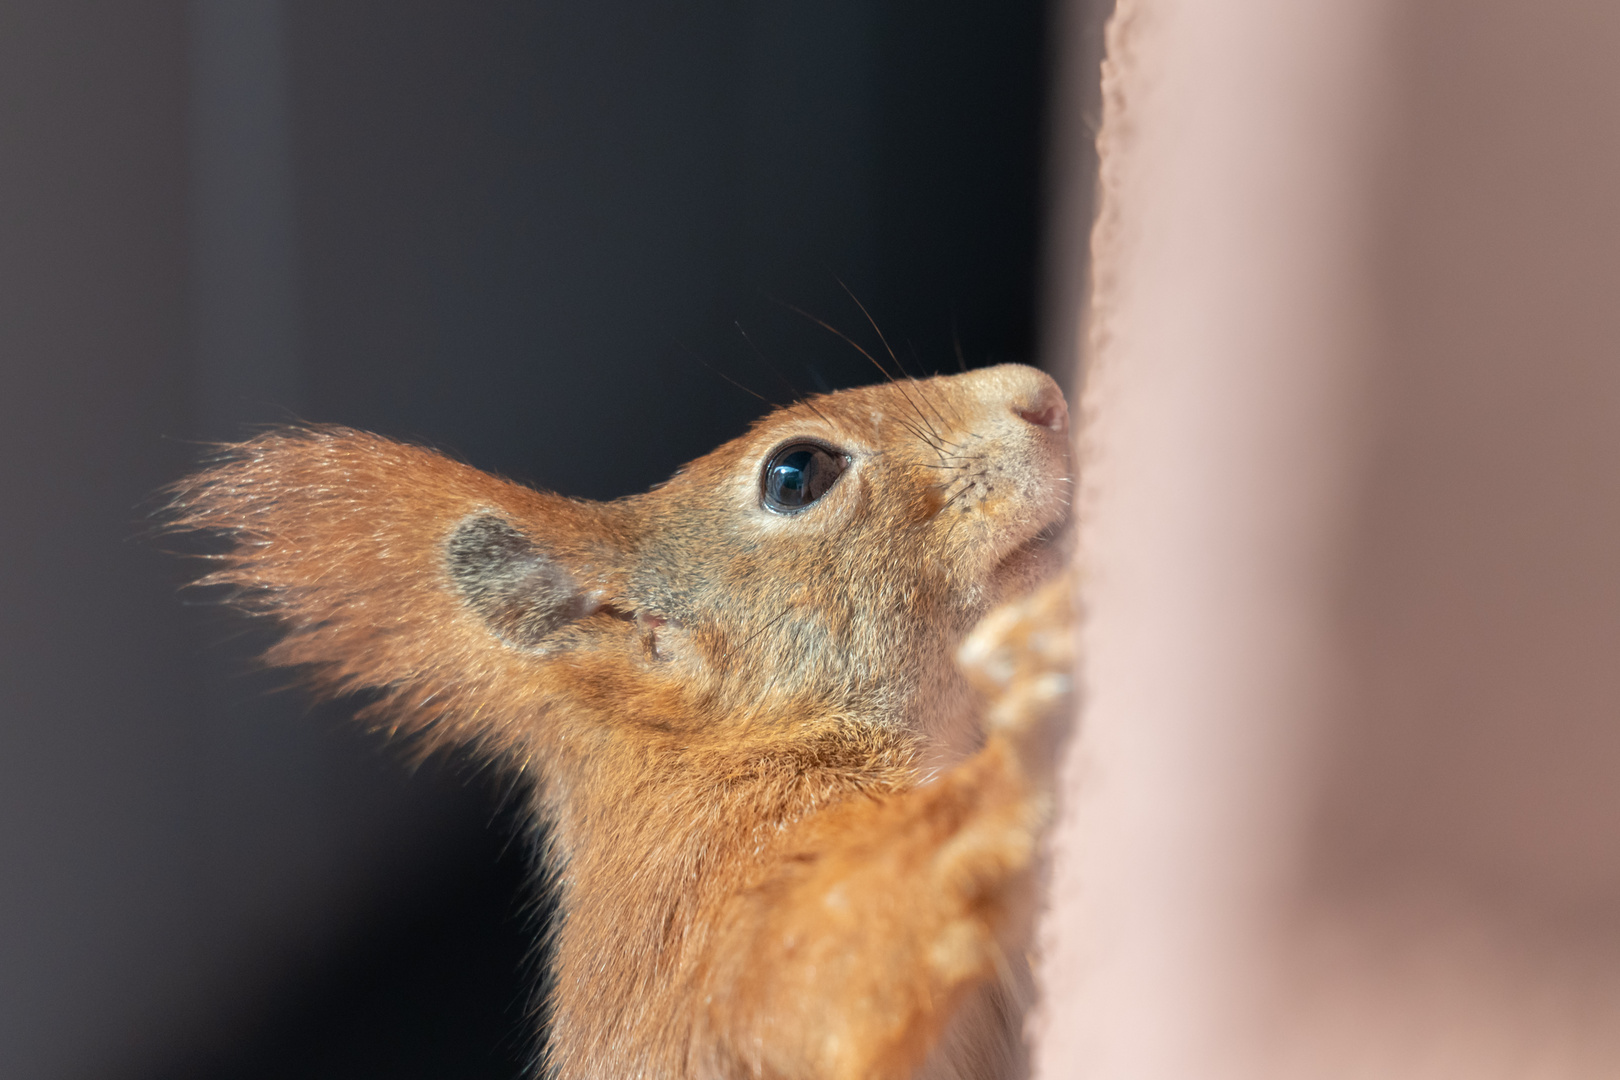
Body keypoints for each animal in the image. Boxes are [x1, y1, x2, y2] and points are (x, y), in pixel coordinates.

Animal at [164, 365, 1075, 1080]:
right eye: (796, 474)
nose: (1043, 395)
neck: (732, 744)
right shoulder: (700, 895)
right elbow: (810, 978)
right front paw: (1014, 764)